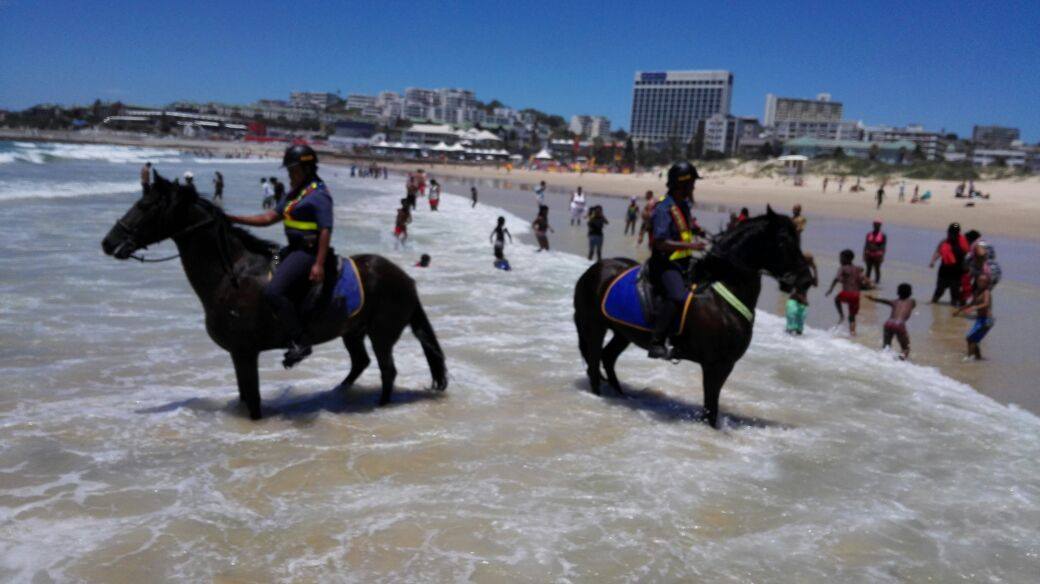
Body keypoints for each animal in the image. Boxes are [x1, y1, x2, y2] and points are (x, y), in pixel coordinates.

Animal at [101, 171, 447, 417]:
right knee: (360, 363)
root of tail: (405, 278)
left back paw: (381, 405)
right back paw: (337, 394)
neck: (232, 274)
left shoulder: (245, 352)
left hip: (381, 333)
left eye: (144, 206)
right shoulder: (238, 354)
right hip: (352, 330)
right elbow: (244, 397)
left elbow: (253, 403)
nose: (108, 242)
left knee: (387, 371)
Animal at [578, 206, 811, 426]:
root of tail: (595, 269)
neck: (721, 294)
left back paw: (622, 396)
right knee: (594, 363)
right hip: (594, 327)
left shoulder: (721, 366)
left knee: (607, 357)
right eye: (783, 241)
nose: (806, 279)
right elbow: (710, 411)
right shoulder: (716, 365)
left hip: (622, 333)